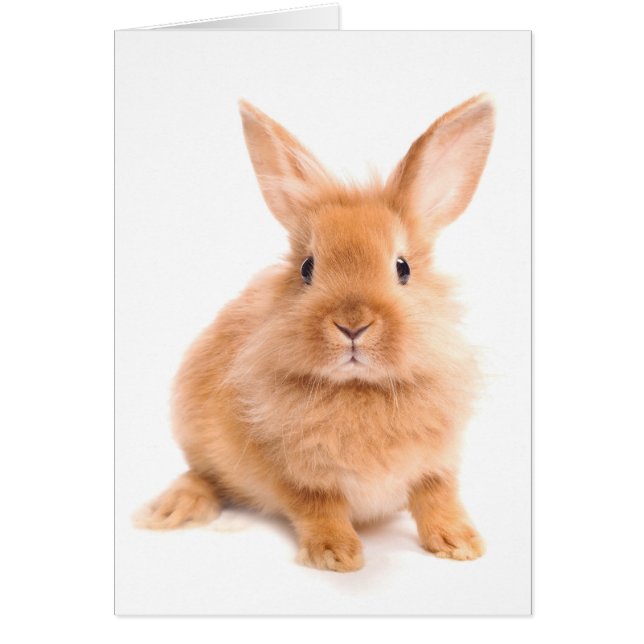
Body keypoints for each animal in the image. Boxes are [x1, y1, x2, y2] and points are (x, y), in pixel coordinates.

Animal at [136, 94, 495, 572]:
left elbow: (437, 497)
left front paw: (461, 544)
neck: (359, 389)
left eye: (403, 268)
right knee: (204, 475)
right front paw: (336, 555)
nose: (352, 324)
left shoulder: (438, 462)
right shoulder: (294, 475)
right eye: (307, 268)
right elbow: (318, 507)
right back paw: (172, 508)